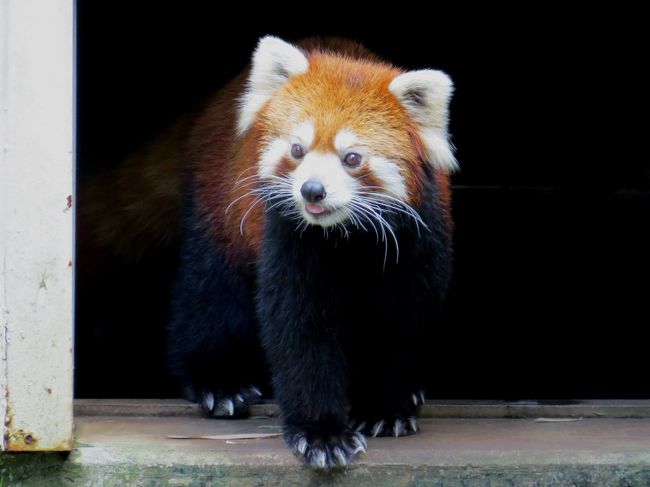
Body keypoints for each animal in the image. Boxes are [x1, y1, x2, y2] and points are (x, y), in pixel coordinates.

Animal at [90, 34, 456, 468]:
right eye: (297, 150)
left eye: (352, 157)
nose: (312, 190)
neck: (346, 235)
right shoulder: (287, 236)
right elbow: (299, 330)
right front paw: (320, 435)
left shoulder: (418, 240)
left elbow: (400, 322)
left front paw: (386, 408)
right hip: (219, 207)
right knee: (209, 291)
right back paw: (220, 383)